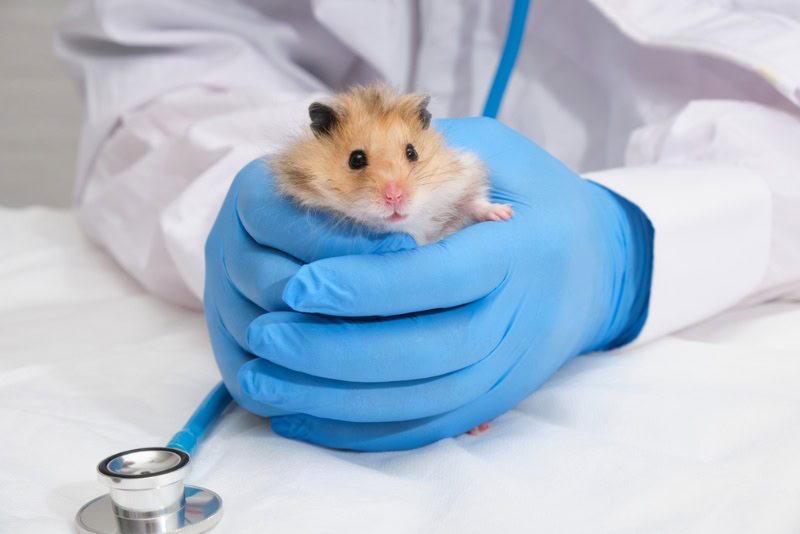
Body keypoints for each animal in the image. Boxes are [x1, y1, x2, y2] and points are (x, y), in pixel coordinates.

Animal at [269, 84, 512, 246]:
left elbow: (475, 201)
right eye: (356, 159)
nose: (395, 196)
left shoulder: (463, 176)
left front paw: (505, 213)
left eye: (412, 152)